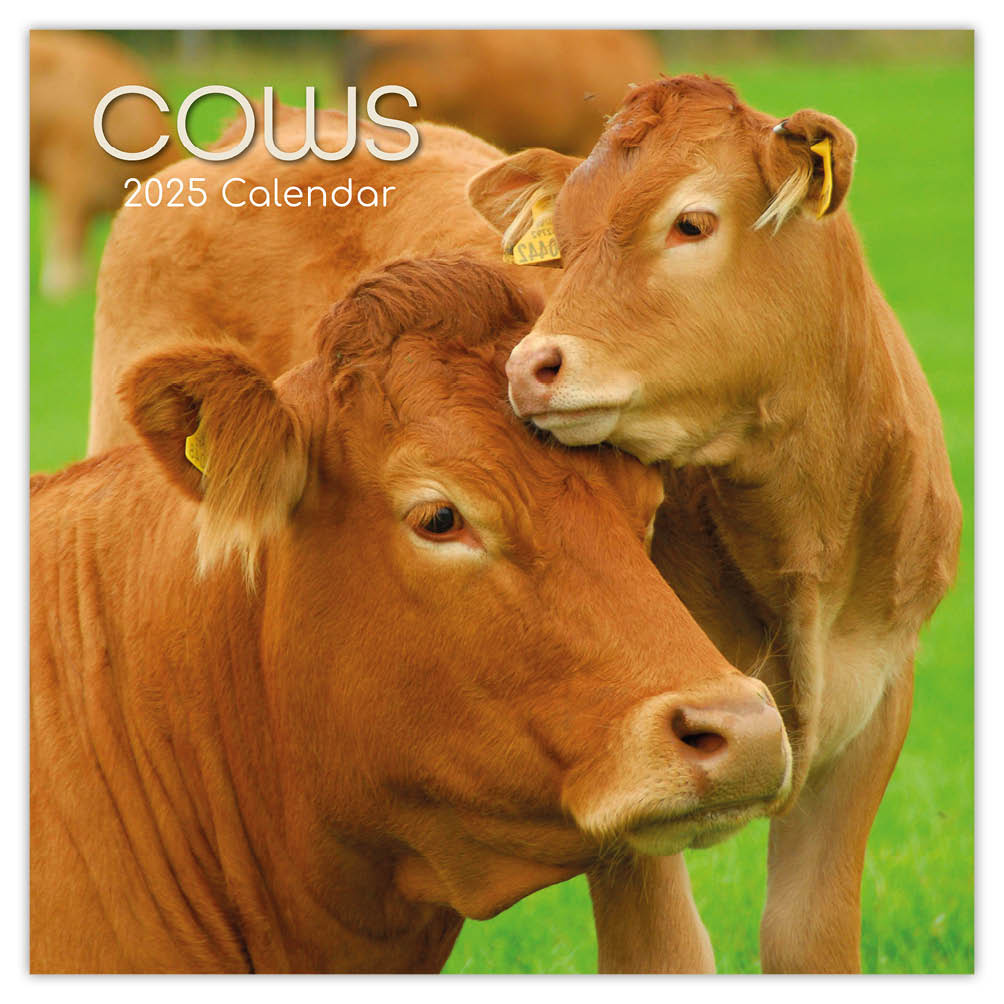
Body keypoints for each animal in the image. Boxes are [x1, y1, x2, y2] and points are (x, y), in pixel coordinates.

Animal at [470, 74, 963, 972]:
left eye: (691, 223)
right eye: (564, 246)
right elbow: (663, 952)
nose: (528, 365)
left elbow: (808, 938)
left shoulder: (879, 704)